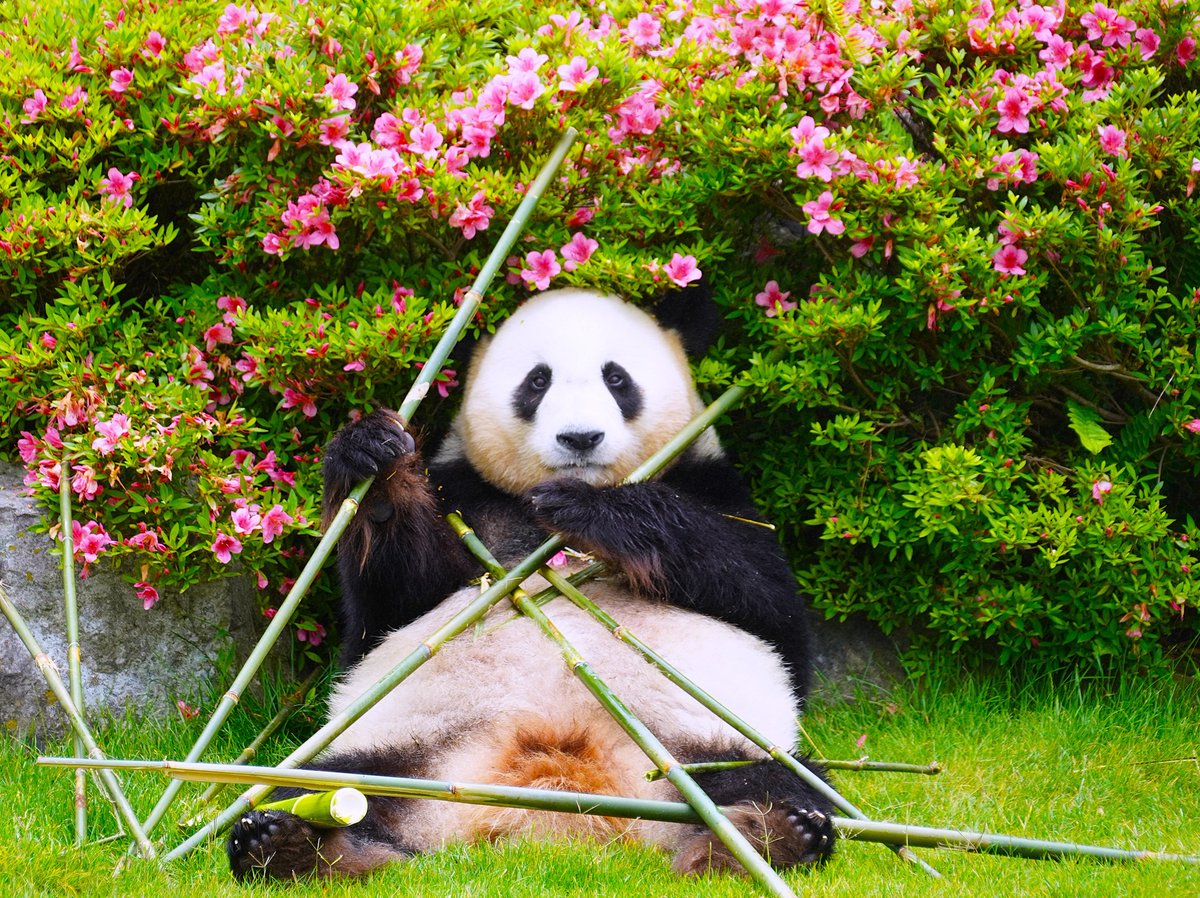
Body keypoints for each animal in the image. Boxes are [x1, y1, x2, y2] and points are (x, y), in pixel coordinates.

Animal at [227, 286, 837, 881]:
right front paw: (375, 464)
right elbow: (387, 612)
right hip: (402, 753)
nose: (581, 438)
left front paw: (599, 513)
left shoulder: (718, 488)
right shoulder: (465, 501)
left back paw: (770, 837)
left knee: (780, 782)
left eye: (617, 379)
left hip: (699, 751)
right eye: (537, 381)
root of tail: (549, 793)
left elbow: (770, 608)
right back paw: (293, 845)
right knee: (310, 784)